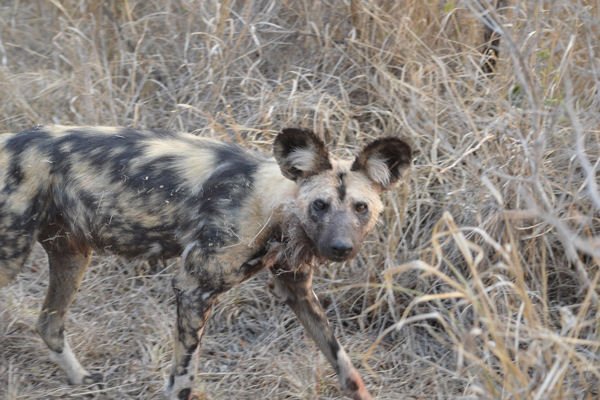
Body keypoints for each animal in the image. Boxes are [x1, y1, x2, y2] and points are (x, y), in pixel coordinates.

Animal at [0, 126, 412, 400]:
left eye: (361, 208)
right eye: (320, 205)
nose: (341, 247)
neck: (271, 204)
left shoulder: (295, 288)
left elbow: (343, 365)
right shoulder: (193, 290)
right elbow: (183, 380)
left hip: (72, 255)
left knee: (49, 323)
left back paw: (80, 379)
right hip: (12, 258)